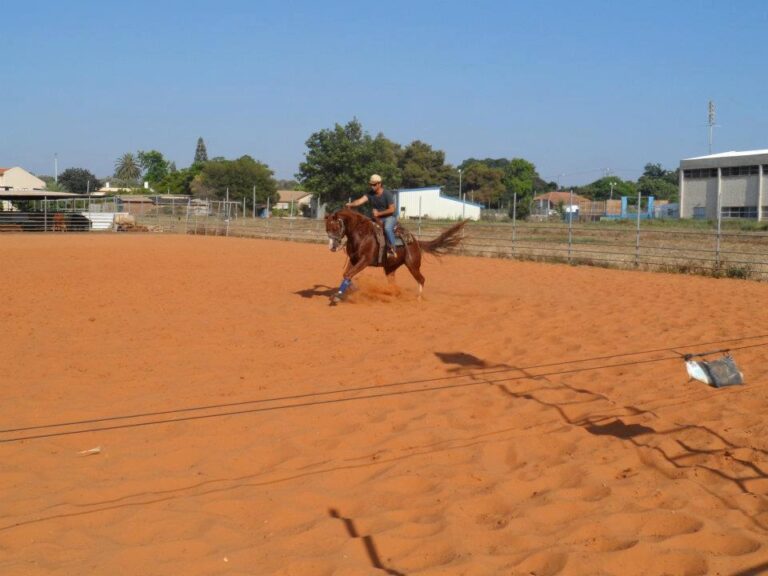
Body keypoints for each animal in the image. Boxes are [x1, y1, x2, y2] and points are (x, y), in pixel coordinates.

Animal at [325, 208, 467, 303]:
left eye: (335, 228)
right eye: (327, 229)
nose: (331, 247)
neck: (361, 234)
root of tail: (416, 241)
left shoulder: (364, 260)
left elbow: (348, 274)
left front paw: (339, 295)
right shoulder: (354, 260)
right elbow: (346, 274)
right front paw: (347, 290)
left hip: (413, 265)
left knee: (421, 279)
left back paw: (418, 299)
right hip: (390, 268)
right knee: (393, 284)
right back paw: (392, 294)